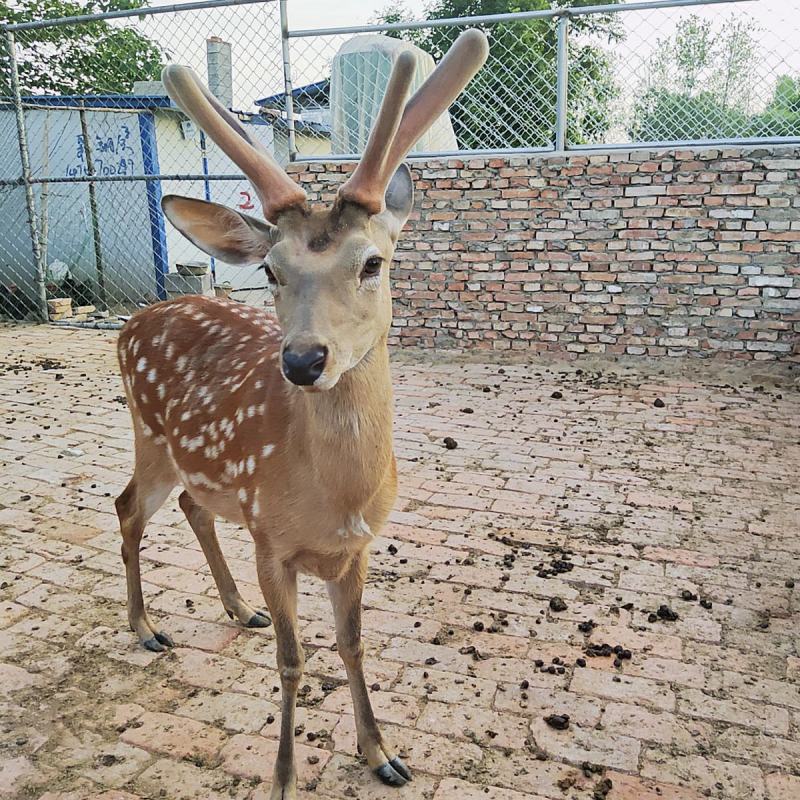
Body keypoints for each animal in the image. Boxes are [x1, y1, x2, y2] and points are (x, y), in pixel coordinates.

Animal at [114, 29, 488, 798]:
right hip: (150, 433)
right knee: (128, 506)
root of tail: (130, 323)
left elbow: (352, 643)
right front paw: (285, 776)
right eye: (270, 270)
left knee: (190, 505)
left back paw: (236, 608)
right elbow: (293, 660)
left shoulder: (359, 547)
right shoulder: (271, 539)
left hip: (194, 462)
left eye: (373, 262)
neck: (336, 500)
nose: (303, 361)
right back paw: (145, 626)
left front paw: (381, 753)